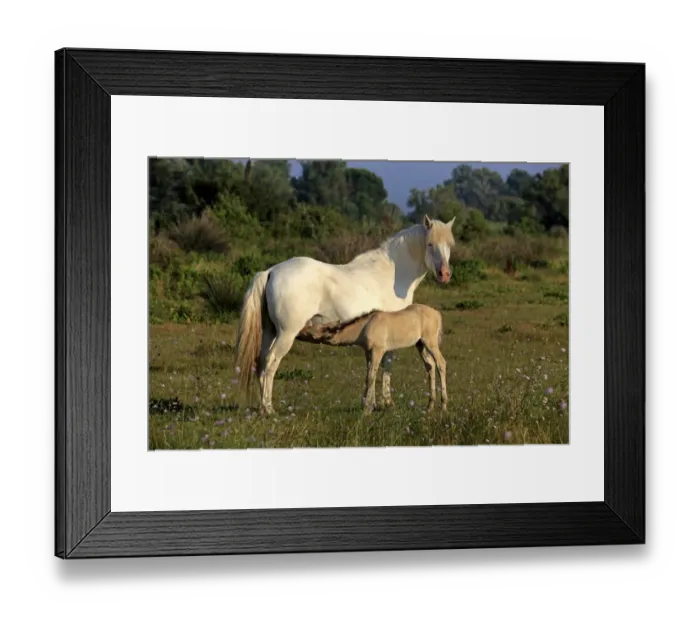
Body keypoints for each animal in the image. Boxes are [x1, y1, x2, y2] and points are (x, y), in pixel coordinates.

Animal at [299, 303, 448, 414]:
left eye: (310, 329)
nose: (298, 333)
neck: (366, 326)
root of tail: (436, 313)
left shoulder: (378, 351)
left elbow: (371, 377)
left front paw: (367, 409)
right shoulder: (368, 352)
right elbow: (368, 377)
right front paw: (370, 405)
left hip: (431, 343)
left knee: (441, 363)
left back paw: (444, 406)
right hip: (420, 345)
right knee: (430, 366)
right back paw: (430, 407)